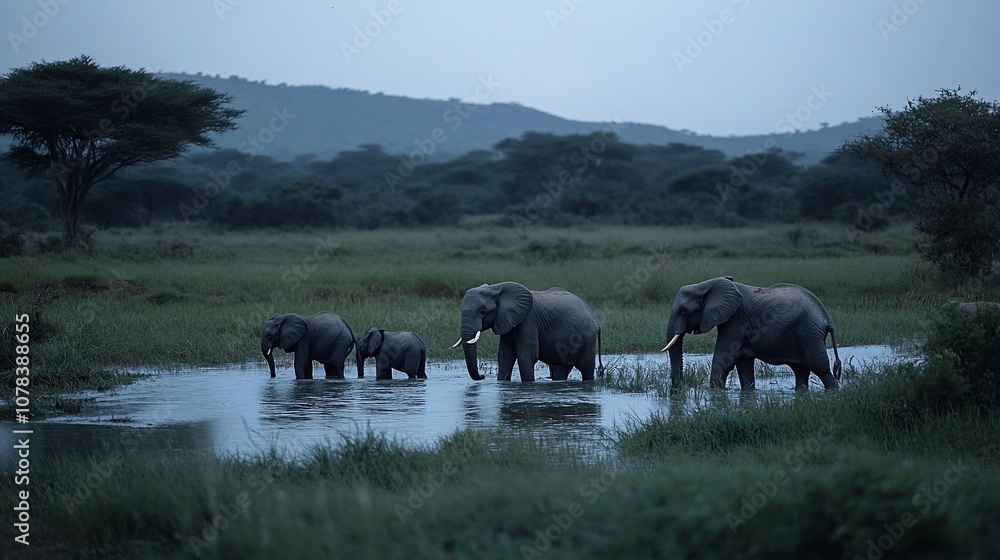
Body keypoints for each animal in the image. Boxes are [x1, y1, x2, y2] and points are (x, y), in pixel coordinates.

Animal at [454, 281, 603, 382]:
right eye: (460, 310)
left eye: (483, 311)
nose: (483, 376)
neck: (496, 288)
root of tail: (595, 319)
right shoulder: (506, 321)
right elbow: (504, 356)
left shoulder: (529, 321)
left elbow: (527, 355)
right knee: (560, 369)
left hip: (587, 337)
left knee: (586, 367)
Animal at [662, 277, 841, 391]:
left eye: (684, 311)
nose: (678, 389)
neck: (706, 285)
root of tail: (827, 318)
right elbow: (743, 363)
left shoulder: (736, 319)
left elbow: (726, 358)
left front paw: (714, 392)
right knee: (801, 371)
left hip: (809, 334)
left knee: (821, 368)